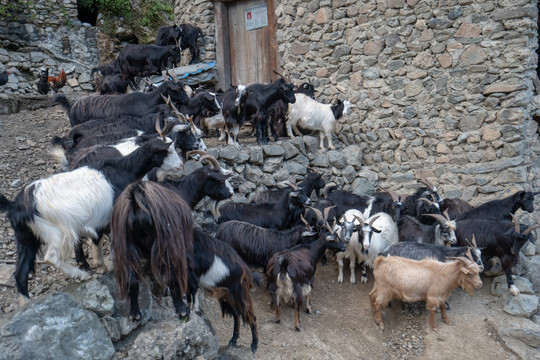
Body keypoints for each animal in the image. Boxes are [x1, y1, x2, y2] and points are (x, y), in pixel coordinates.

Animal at [0, 134, 182, 306]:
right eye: (168, 151)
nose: (181, 166)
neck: (123, 170)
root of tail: (16, 205)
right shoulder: (113, 216)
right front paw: (107, 265)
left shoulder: (98, 220)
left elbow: (96, 240)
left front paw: (101, 265)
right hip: (56, 231)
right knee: (51, 257)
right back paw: (81, 274)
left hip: (26, 237)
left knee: (20, 273)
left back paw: (26, 304)